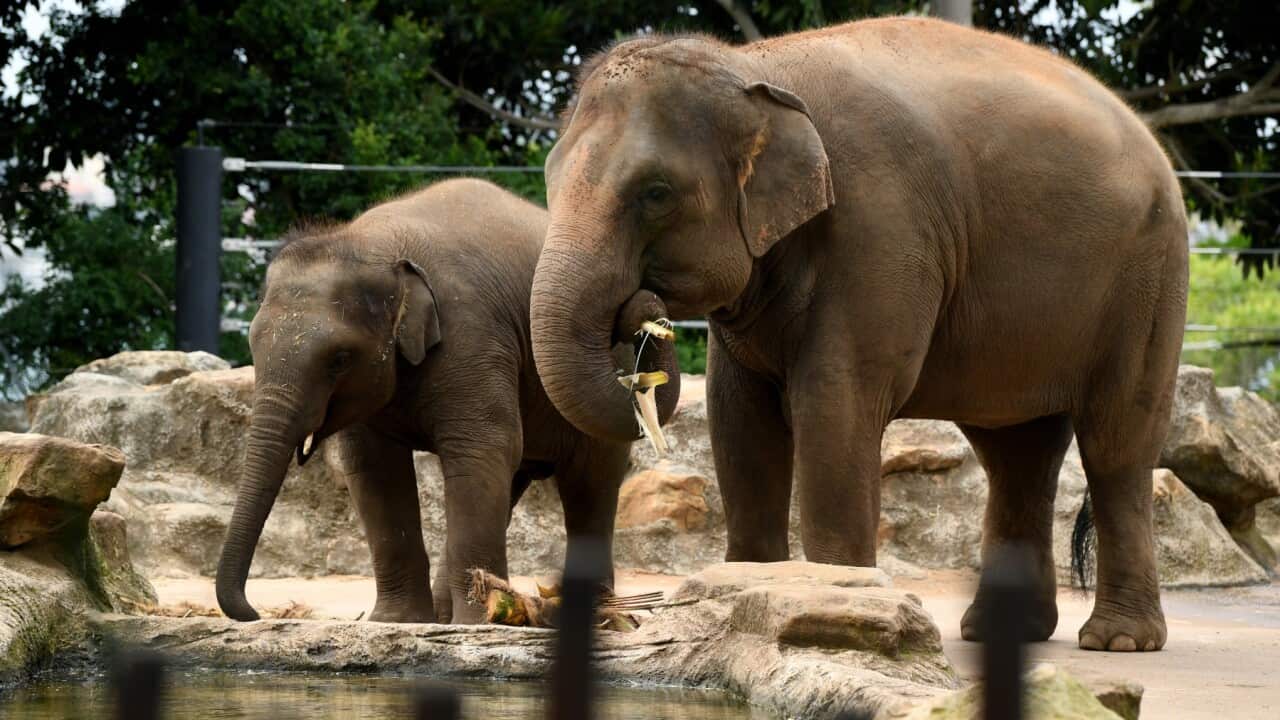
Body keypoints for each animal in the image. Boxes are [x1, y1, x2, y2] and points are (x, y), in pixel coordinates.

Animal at [215, 178, 680, 624]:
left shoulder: (472, 333)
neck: (374, 245)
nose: (254, 612)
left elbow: (481, 448)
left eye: (339, 359)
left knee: (590, 481)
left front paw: (476, 623)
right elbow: (374, 468)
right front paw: (397, 622)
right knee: (512, 477)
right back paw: (448, 614)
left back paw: (602, 617)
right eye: (253, 346)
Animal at [529, 17, 1187, 652]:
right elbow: (738, 421)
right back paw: (1001, 633)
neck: (752, 67)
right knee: (1016, 454)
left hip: (1149, 280)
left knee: (1116, 446)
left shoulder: (878, 228)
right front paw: (744, 598)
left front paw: (831, 609)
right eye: (549, 179)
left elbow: (835, 406)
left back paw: (1118, 641)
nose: (644, 310)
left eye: (656, 193)